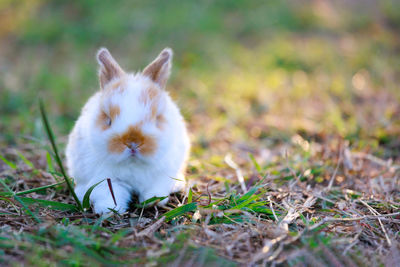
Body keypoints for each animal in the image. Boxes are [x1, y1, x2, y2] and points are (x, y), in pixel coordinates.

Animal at [65, 47, 190, 215]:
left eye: (156, 118)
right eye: (108, 120)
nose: (132, 143)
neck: (132, 164)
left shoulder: (161, 174)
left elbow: (155, 188)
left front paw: (153, 201)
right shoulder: (105, 179)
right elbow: (109, 194)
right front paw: (108, 210)